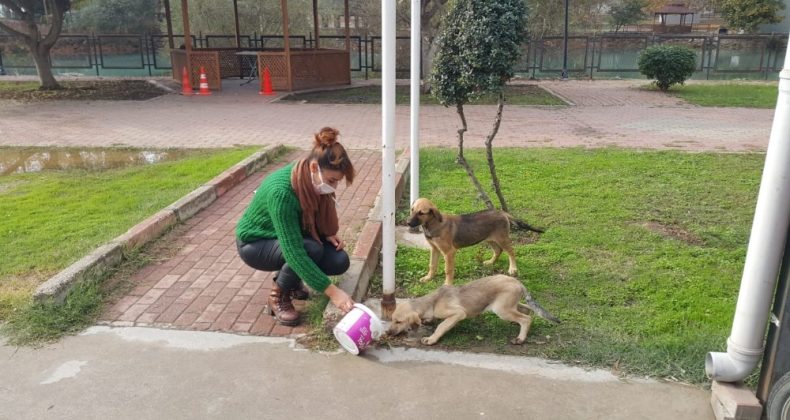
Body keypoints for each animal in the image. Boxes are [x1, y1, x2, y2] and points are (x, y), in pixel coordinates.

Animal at [386, 274, 560, 346]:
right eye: (392, 320)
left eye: (398, 321)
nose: (387, 333)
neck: (432, 302)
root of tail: (518, 282)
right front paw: (428, 321)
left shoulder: (458, 313)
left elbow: (442, 326)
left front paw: (432, 339)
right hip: (510, 305)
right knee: (528, 310)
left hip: (501, 309)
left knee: (526, 318)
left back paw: (520, 338)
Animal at [408, 198, 544, 286]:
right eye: (412, 210)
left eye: (421, 213)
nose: (408, 223)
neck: (433, 224)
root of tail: (501, 212)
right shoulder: (434, 249)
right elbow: (432, 265)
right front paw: (428, 278)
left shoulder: (449, 252)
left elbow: (448, 270)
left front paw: (447, 284)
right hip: (490, 238)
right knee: (498, 250)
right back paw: (490, 262)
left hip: (502, 238)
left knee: (511, 251)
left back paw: (513, 269)